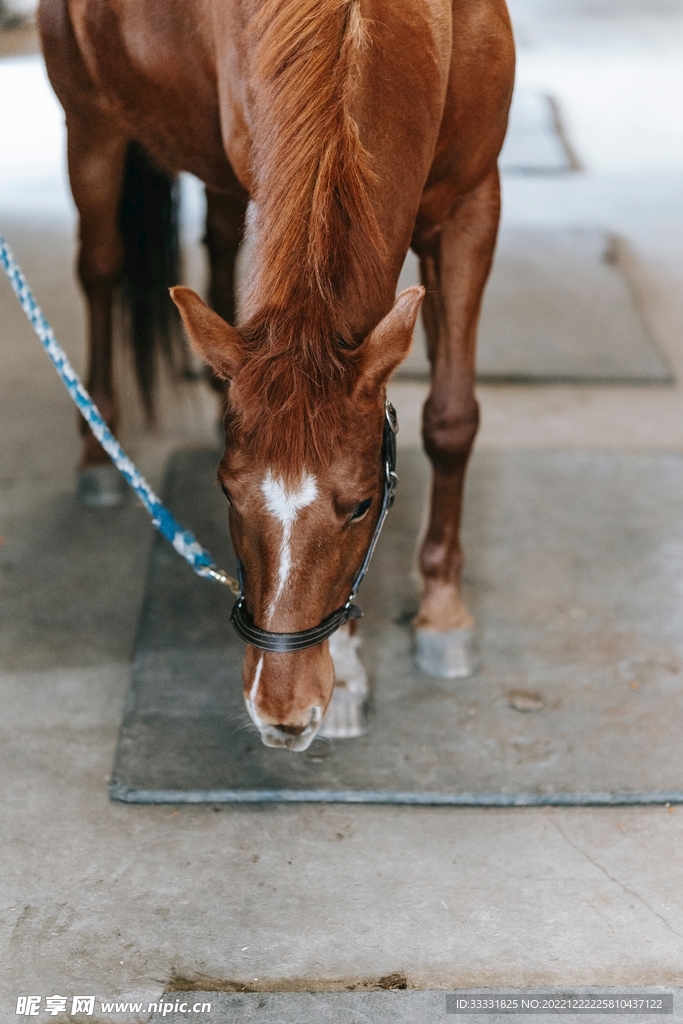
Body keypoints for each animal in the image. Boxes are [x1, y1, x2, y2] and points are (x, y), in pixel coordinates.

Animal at [38, 0, 515, 751]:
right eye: (227, 494)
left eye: (362, 504)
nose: (282, 711)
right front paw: (348, 673)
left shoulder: (471, 206)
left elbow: (450, 418)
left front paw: (442, 612)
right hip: (90, 126)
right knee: (101, 268)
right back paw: (95, 453)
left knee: (216, 239)